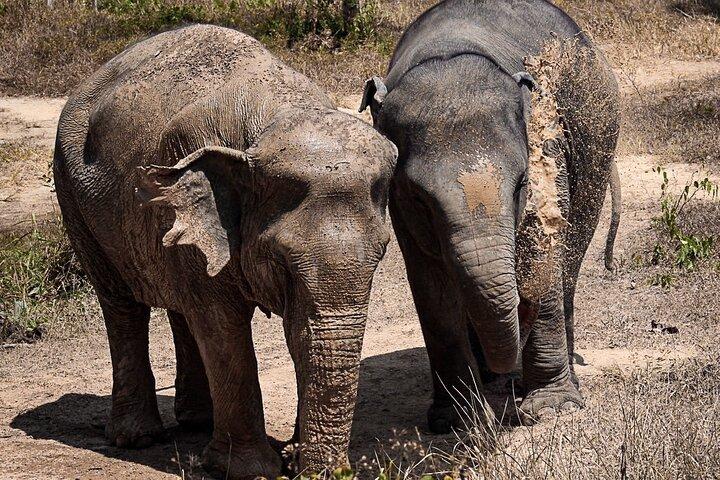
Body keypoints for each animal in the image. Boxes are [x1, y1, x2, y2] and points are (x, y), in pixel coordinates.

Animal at [53, 24, 398, 479]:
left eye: (381, 254)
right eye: (282, 261)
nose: (316, 468)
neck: (271, 120)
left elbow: (293, 331)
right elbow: (222, 324)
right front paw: (251, 469)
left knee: (180, 303)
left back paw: (196, 423)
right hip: (74, 198)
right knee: (122, 304)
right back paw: (138, 438)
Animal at [360, 0, 621, 430]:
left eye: (521, 183)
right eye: (420, 198)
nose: (523, 302)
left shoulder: (548, 152)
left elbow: (543, 247)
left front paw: (552, 409)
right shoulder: (398, 206)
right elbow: (430, 285)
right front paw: (456, 421)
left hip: (597, 150)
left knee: (571, 258)